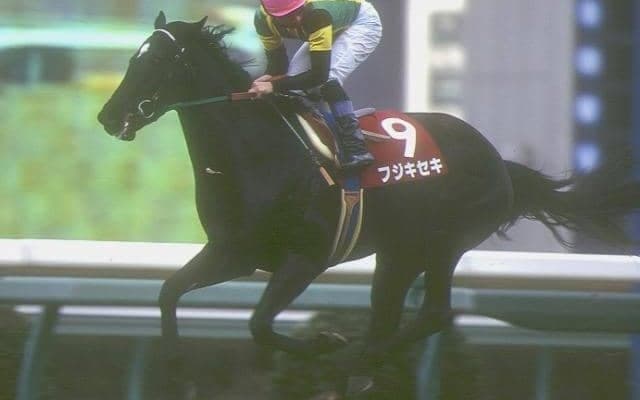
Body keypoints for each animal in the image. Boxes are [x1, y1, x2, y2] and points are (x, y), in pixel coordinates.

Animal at [97, 12, 640, 398]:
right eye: (133, 58)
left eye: (157, 63)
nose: (108, 116)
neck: (260, 155)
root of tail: (499, 162)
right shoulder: (235, 253)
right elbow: (169, 292)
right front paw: (176, 371)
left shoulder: (306, 258)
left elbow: (259, 324)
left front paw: (325, 344)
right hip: (399, 254)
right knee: (390, 317)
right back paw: (360, 366)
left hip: (438, 244)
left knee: (431, 314)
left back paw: (350, 362)